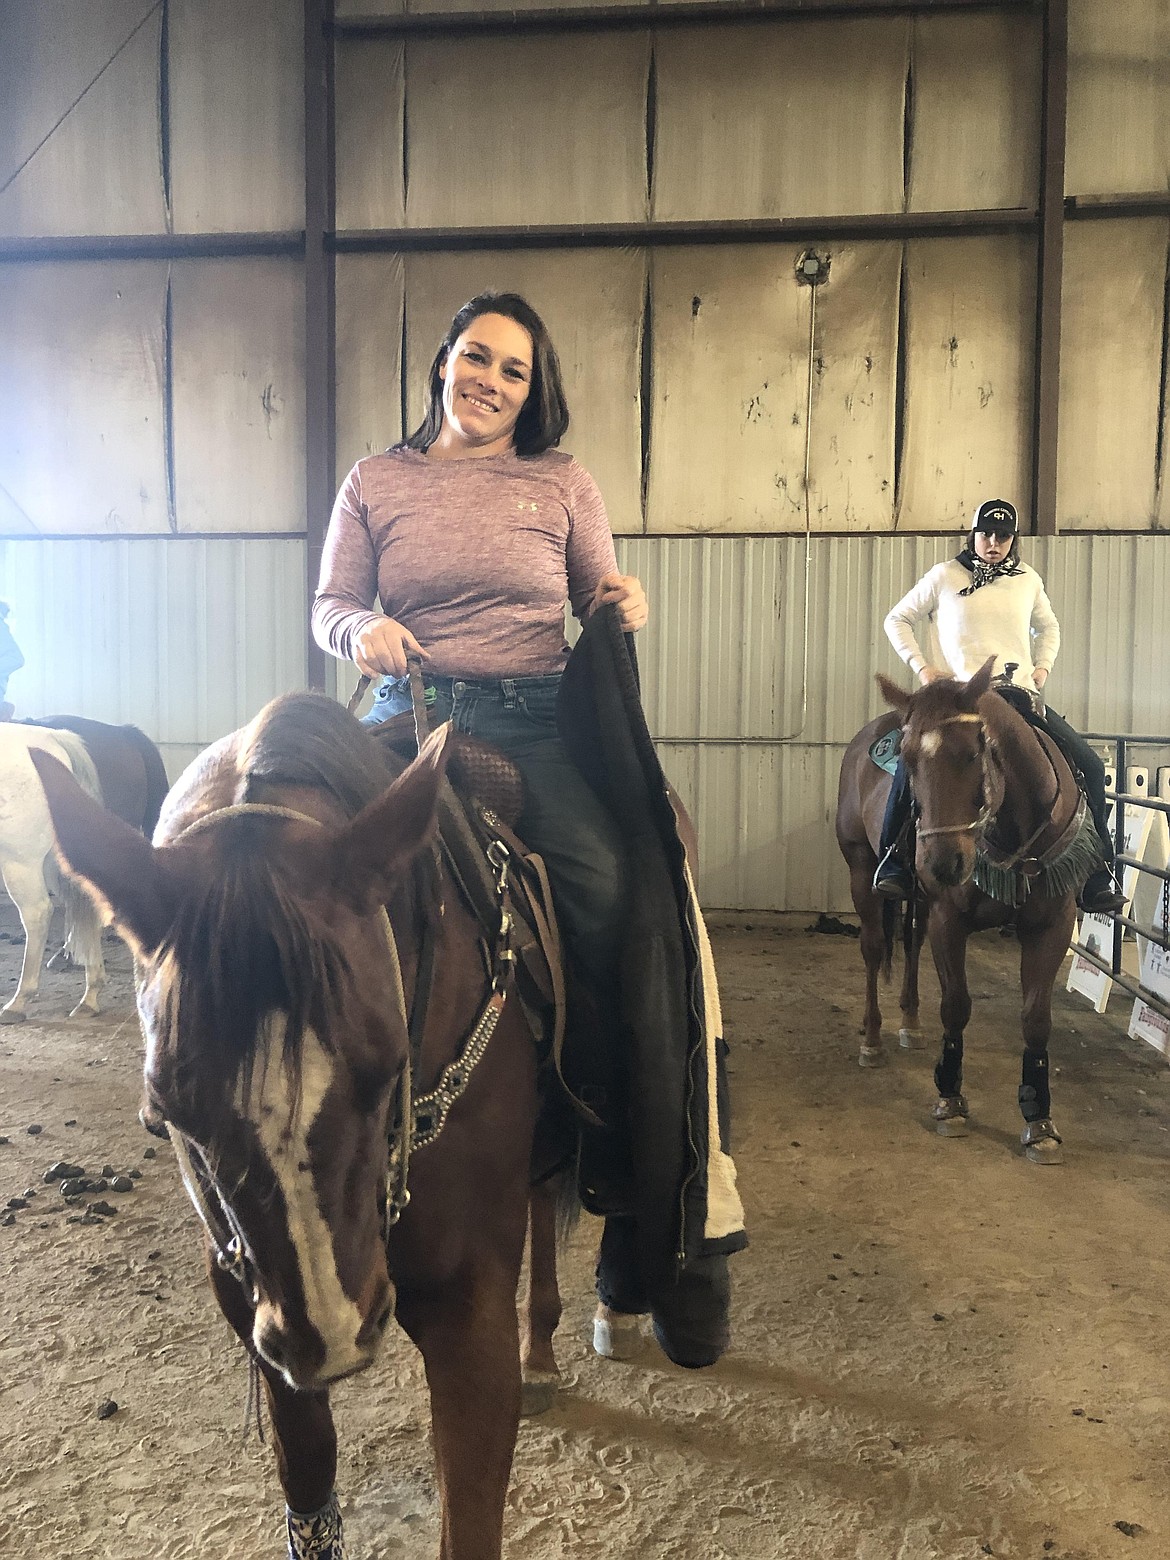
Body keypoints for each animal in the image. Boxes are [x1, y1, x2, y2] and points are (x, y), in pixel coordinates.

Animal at [34, 698, 564, 1560]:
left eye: (387, 1066)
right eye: (167, 1111)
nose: (334, 1335)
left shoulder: (467, 1305)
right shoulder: (253, 1304)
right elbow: (309, 1484)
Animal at [836, 655, 1104, 1160]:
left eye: (973, 754)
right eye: (908, 760)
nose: (943, 862)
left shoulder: (1053, 924)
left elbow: (1036, 1019)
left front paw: (1039, 1117)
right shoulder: (949, 919)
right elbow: (956, 1006)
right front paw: (950, 1099)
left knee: (911, 944)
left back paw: (910, 1023)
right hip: (862, 870)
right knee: (874, 949)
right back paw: (874, 1038)